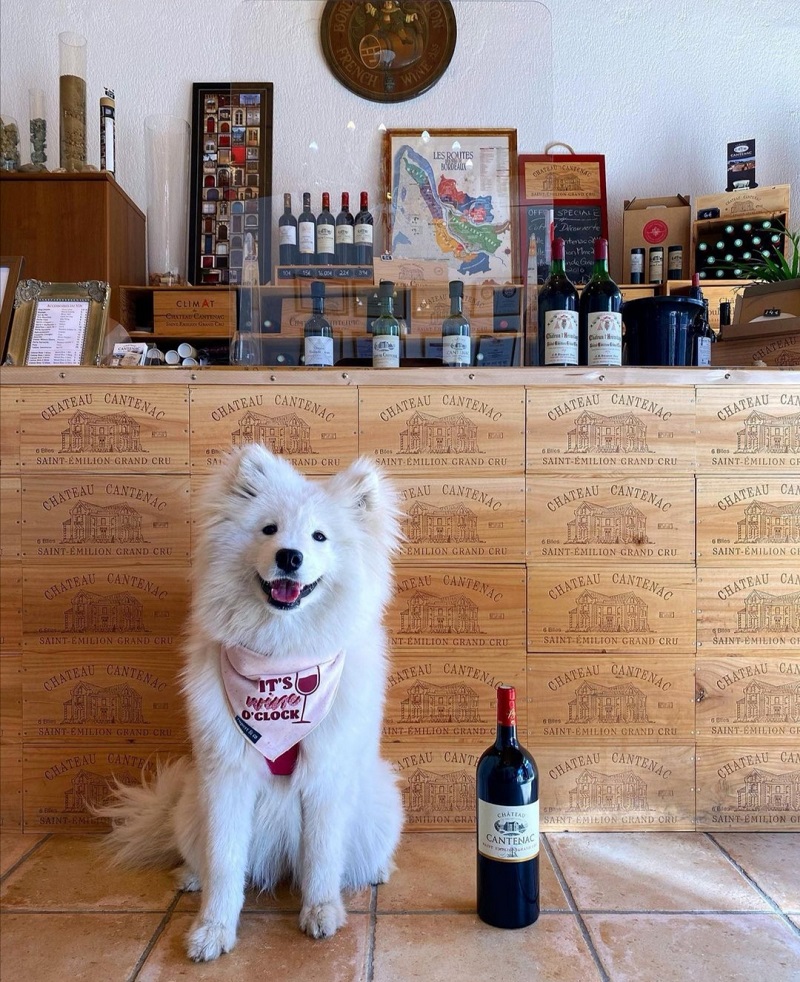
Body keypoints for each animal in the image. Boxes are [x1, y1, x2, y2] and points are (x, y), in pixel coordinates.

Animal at [104, 446, 406, 960]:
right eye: (269, 529)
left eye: (319, 536)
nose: (290, 556)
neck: (281, 654)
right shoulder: (228, 777)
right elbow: (225, 863)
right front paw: (212, 930)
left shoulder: (325, 776)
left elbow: (322, 855)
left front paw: (321, 912)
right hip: (192, 803)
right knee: (202, 857)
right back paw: (190, 876)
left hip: (378, 803)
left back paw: (376, 872)